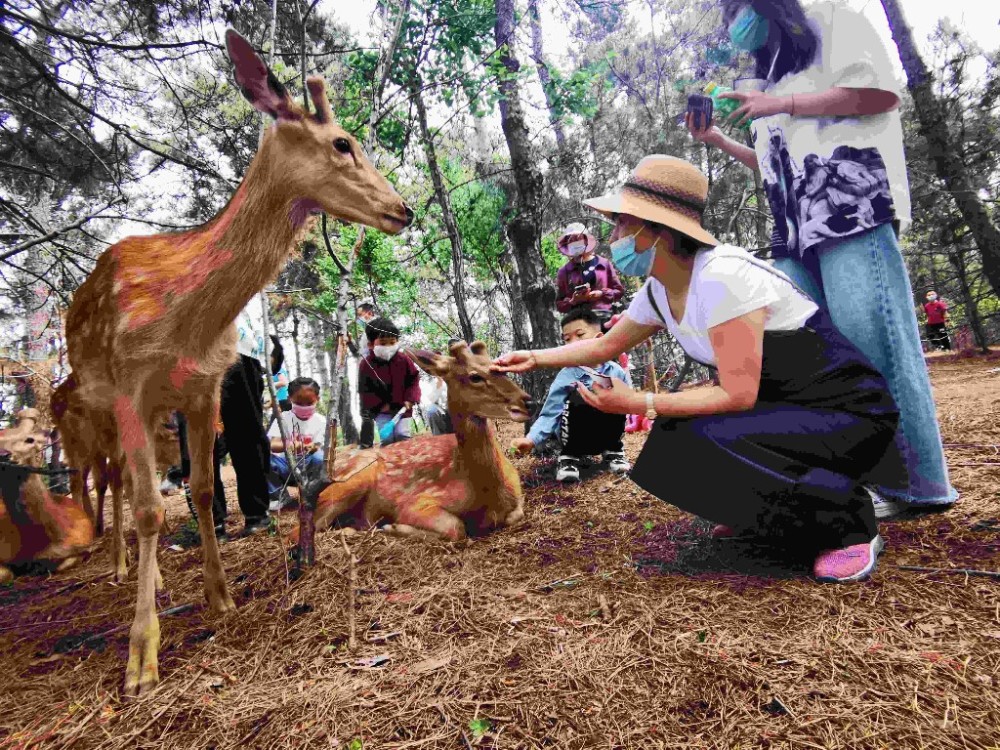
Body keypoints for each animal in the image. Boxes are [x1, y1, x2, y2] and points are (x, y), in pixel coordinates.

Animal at [61, 29, 410, 700]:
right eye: (342, 142)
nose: (404, 209)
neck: (184, 322)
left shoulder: (205, 389)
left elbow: (200, 488)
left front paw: (221, 598)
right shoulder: (131, 387)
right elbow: (150, 508)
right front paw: (140, 660)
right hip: (94, 411)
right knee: (115, 487)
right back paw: (123, 570)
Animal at [292, 342, 532, 548]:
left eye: (502, 368)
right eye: (475, 376)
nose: (527, 401)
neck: (488, 495)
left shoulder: (518, 494)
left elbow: (516, 515)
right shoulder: (416, 502)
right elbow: (456, 527)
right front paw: (394, 527)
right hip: (350, 481)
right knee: (300, 532)